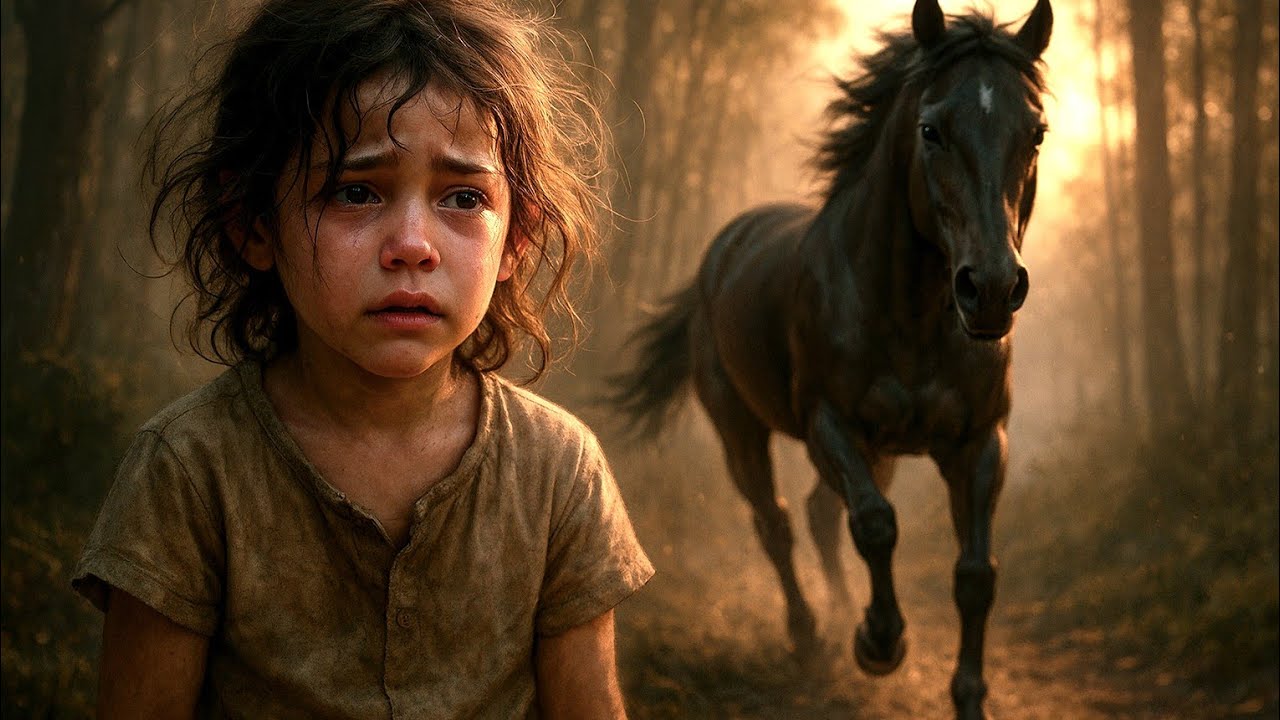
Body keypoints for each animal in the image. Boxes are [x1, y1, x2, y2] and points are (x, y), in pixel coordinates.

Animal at [610, 1, 1053, 717]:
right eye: (931, 129)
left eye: (1035, 133)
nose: (989, 289)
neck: (913, 315)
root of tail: (723, 249)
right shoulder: (829, 424)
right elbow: (873, 525)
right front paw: (878, 643)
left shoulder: (981, 442)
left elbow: (975, 575)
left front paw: (966, 695)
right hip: (740, 429)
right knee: (777, 523)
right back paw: (810, 636)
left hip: (880, 451)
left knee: (818, 515)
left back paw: (842, 611)